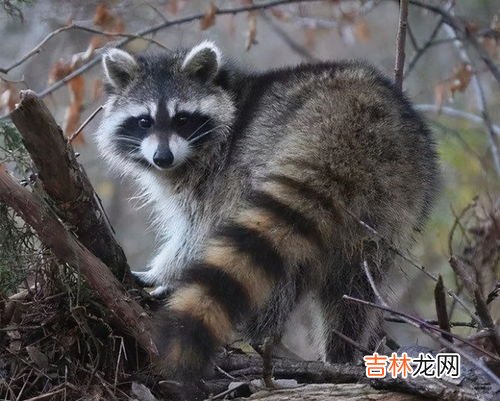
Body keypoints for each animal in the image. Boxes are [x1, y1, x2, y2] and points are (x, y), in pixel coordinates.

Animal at [95, 40, 440, 378]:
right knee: (354, 284)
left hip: (263, 159)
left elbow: (197, 233)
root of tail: (355, 124)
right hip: (396, 200)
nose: (162, 158)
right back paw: (340, 349)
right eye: (144, 121)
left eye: (182, 119)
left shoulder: (220, 173)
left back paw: (258, 332)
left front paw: (161, 275)